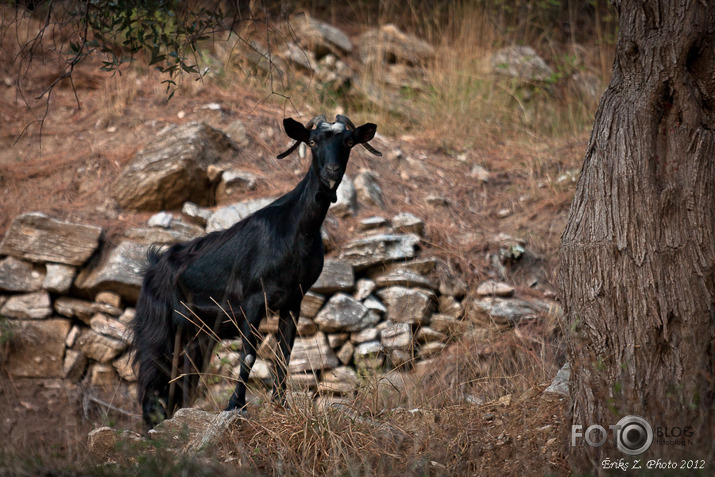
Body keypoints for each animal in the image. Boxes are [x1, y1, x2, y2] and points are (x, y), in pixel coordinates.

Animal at [132, 113, 384, 426]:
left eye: (348, 142)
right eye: (313, 142)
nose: (332, 172)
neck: (297, 233)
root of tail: (153, 267)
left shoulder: (292, 302)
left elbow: (283, 356)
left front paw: (280, 406)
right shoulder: (253, 301)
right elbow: (249, 356)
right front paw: (235, 406)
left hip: (197, 335)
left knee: (181, 379)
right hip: (159, 328)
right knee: (153, 377)